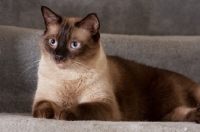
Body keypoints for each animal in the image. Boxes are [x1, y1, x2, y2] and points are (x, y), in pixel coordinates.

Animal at [32, 5, 200, 122]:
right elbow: (41, 107)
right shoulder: (43, 98)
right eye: (52, 42)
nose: (58, 57)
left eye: (74, 45)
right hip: (166, 115)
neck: (69, 76)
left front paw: (63, 112)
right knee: (179, 114)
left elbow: (82, 107)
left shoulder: (104, 104)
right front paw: (46, 114)